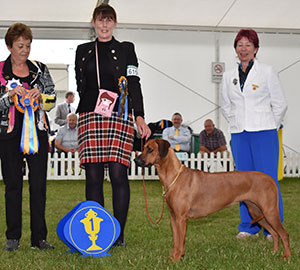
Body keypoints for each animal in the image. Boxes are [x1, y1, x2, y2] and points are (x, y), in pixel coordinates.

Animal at [134, 139, 290, 262]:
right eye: (143, 147)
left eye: (150, 149)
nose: (135, 160)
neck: (174, 177)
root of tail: (270, 178)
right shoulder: (173, 218)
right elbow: (175, 241)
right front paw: (172, 257)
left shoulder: (181, 219)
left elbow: (180, 242)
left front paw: (177, 259)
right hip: (256, 212)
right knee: (275, 233)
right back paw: (274, 252)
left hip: (269, 211)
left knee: (284, 234)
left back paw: (286, 257)